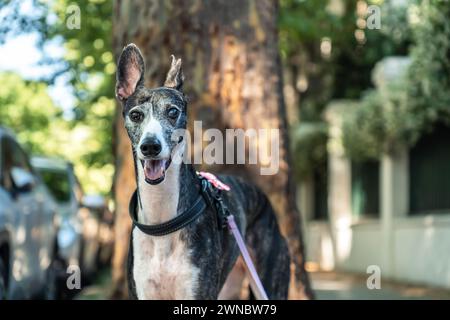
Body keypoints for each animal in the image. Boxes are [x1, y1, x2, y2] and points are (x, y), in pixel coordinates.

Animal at [116, 43, 290, 298]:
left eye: (172, 112)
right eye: (135, 115)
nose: (150, 146)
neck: (162, 222)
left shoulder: (197, 290)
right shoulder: (142, 290)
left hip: (268, 281)